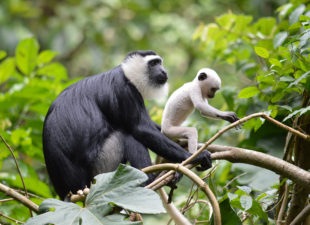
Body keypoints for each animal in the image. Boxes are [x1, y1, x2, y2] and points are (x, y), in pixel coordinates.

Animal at [42, 50, 212, 200]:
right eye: (154, 63)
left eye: (160, 63)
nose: (163, 71)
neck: (126, 74)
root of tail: (70, 190)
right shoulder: (125, 90)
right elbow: (141, 129)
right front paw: (194, 157)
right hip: (101, 170)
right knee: (126, 136)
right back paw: (151, 179)